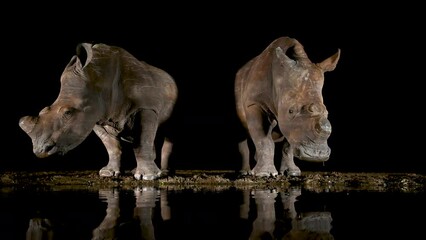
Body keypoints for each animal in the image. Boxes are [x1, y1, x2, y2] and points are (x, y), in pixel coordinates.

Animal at [18, 42, 176, 180]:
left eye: (68, 113)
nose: (40, 151)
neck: (98, 80)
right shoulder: (96, 116)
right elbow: (112, 146)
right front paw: (108, 173)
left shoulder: (146, 107)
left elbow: (142, 142)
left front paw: (148, 177)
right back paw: (141, 171)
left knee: (165, 134)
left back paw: (164, 173)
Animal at [235, 36, 342, 177]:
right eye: (290, 111)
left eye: (327, 111)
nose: (317, 155)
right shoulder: (254, 103)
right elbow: (263, 138)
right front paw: (264, 174)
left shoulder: (294, 125)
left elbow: (289, 143)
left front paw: (292, 172)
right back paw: (245, 172)